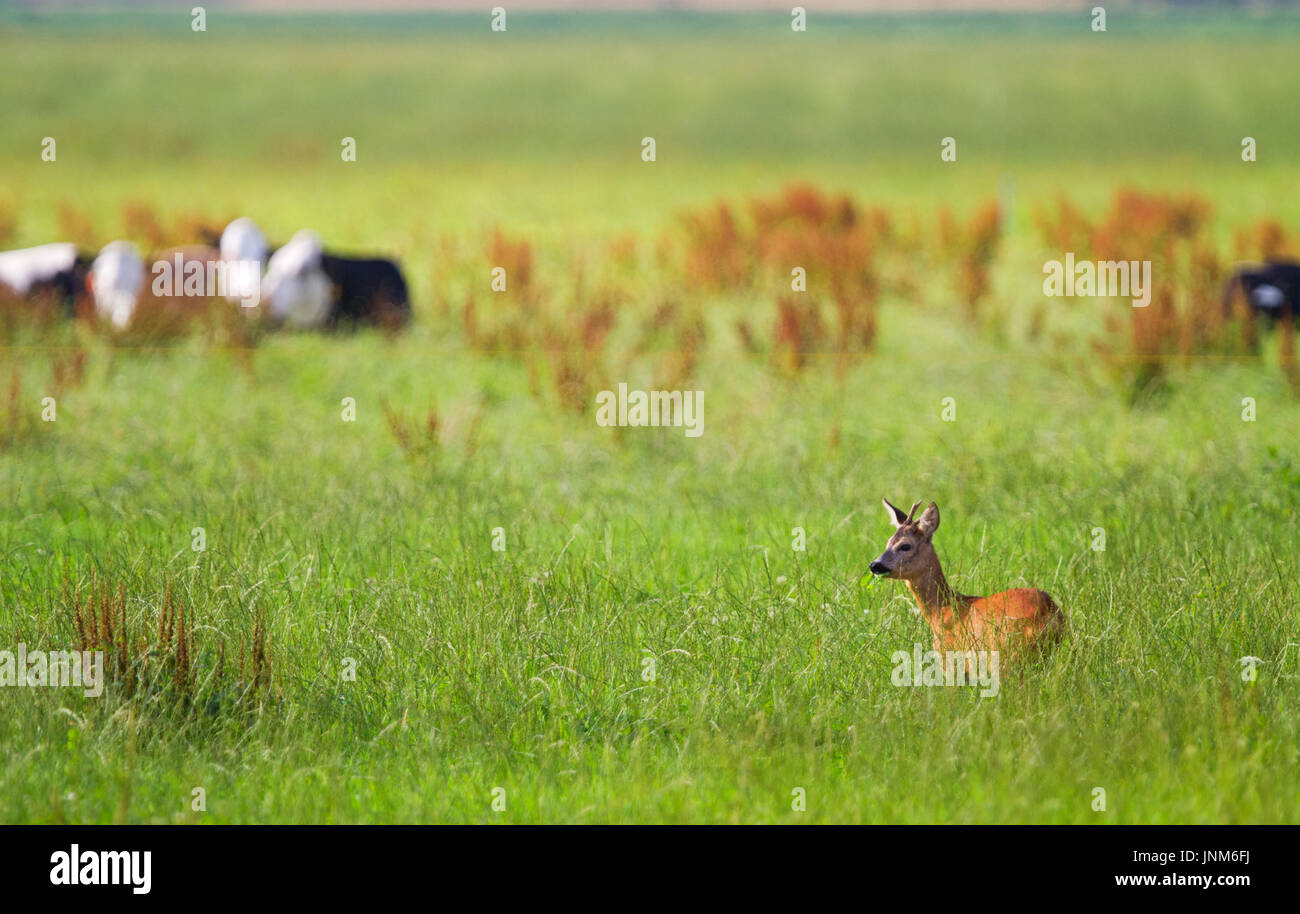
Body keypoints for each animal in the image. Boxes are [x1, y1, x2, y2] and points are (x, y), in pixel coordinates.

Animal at [868, 499, 1060, 665]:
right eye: (887, 542)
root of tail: (1048, 613)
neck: (941, 610)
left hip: (1008, 652)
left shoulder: (949, 655)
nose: (875, 565)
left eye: (905, 546)